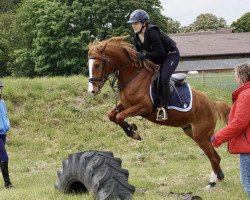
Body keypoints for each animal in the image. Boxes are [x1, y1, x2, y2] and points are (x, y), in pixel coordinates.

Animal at [87, 35, 229, 188]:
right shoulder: (125, 104)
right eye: (88, 65)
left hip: (200, 135)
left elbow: (119, 116)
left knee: (214, 157)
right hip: (192, 132)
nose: (92, 91)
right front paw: (132, 129)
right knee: (215, 157)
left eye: (96, 65)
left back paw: (212, 184)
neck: (133, 75)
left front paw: (134, 132)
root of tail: (212, 103)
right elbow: (112, 115)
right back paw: (218, 177)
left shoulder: (143, 107)